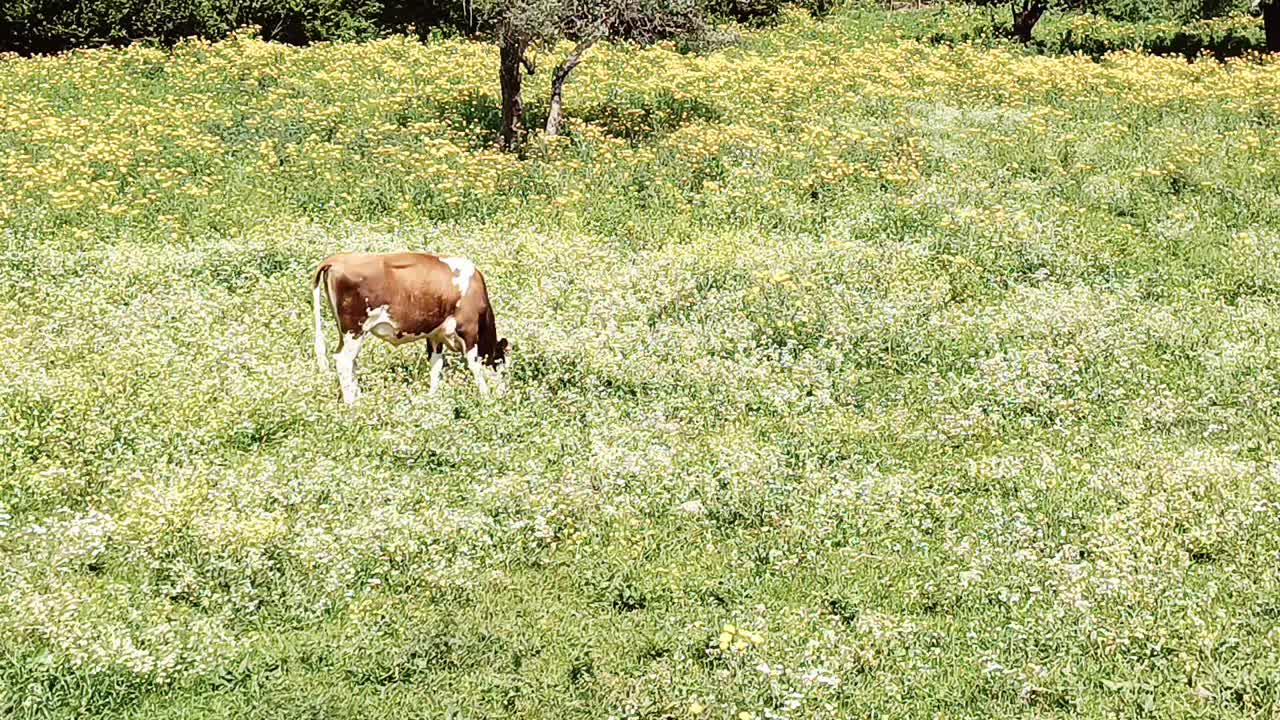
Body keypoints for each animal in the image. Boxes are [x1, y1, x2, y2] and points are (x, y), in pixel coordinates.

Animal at [312, 252, 506, 399]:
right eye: (502, 362)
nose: (504, 393)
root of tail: (336, 259)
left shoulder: (435, 335)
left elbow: (436, 365)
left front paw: (432, 397)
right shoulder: (468, 328)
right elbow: (474, 364)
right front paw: (486, 396)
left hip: (346, 332)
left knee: (351, 361)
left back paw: (358, 396)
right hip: (355, 329)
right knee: (343, 360)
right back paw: (352, 402)